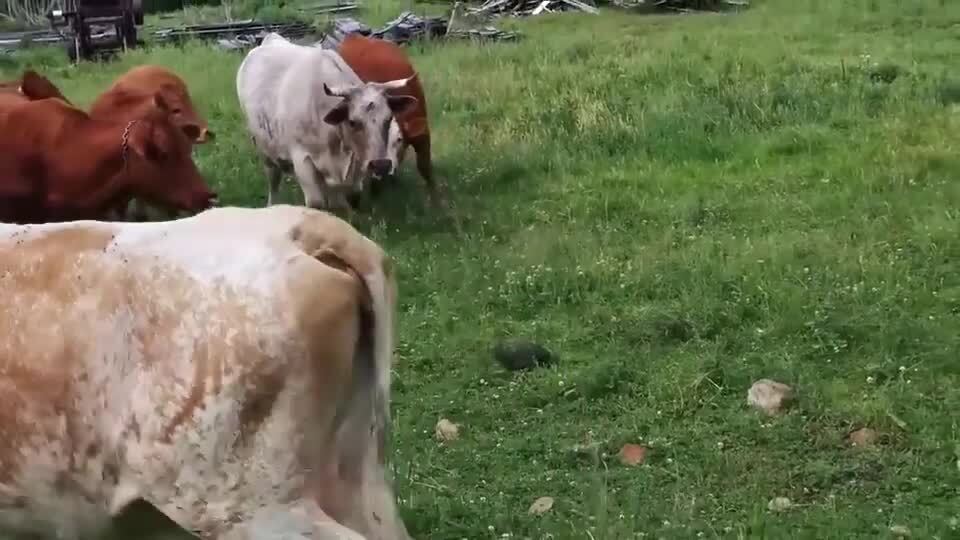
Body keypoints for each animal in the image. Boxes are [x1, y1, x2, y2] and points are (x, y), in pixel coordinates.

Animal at [236, 32, 418, 212]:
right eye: (352, 121)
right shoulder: (302, 159)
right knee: (273, 179)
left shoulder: (355, 166)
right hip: (264, 149)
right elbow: (316, 203)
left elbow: (345, 201)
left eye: (388, 118)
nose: (381, 165)